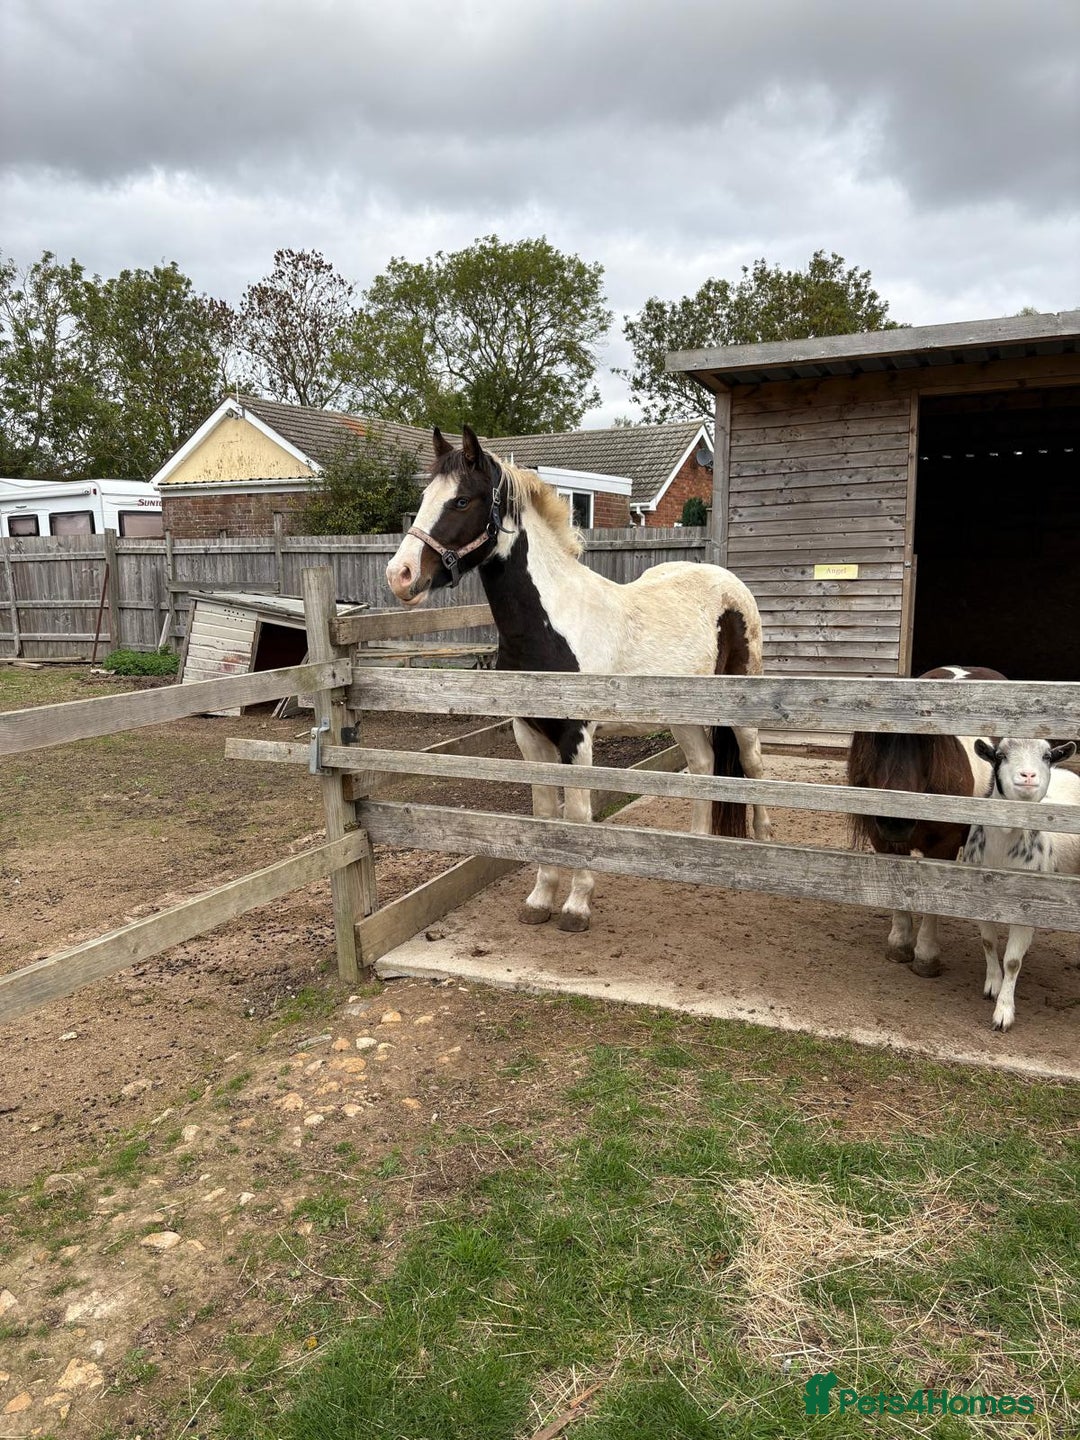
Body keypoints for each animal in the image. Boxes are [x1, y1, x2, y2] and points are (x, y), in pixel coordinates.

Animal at [386, 425, 772, 933]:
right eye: (425, 496)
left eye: (462, 501)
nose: (400, 575)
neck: (552, 624)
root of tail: (727, 582)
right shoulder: (530, 737)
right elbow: (546, 813)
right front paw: (540, 899)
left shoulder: (578, 737)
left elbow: (579, 814)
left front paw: (576, 905)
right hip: (682, 716)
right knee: (704, 764)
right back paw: (693, 854)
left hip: (742, 708)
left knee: (752, 766)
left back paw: (762, 842)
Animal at [846, 664, 1003, 976]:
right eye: (874, 747)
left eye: (925, 745)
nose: (896, 821)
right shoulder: (883, 840)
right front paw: (899, 945)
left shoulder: (943, 847)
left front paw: (926, 956)